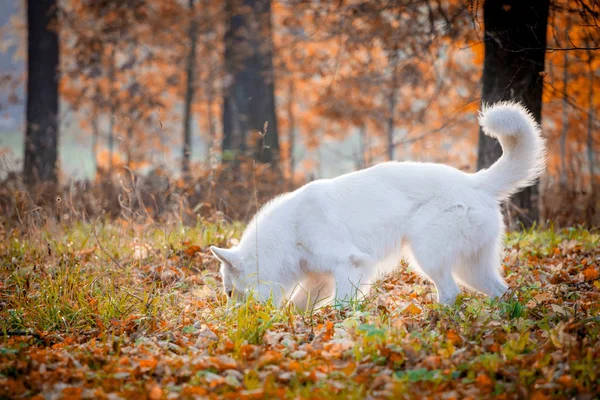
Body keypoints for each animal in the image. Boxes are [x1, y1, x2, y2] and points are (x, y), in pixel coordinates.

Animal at [212, 102, 548, 310]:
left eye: (229, 292)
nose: (233, 320)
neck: (290, 232)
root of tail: (476, 182)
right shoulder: (318, 280)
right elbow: (299, 308)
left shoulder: (349, 265)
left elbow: (341, 305)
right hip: (472, 268)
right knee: (501, 292)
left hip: (427, 256)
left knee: (451, 292)